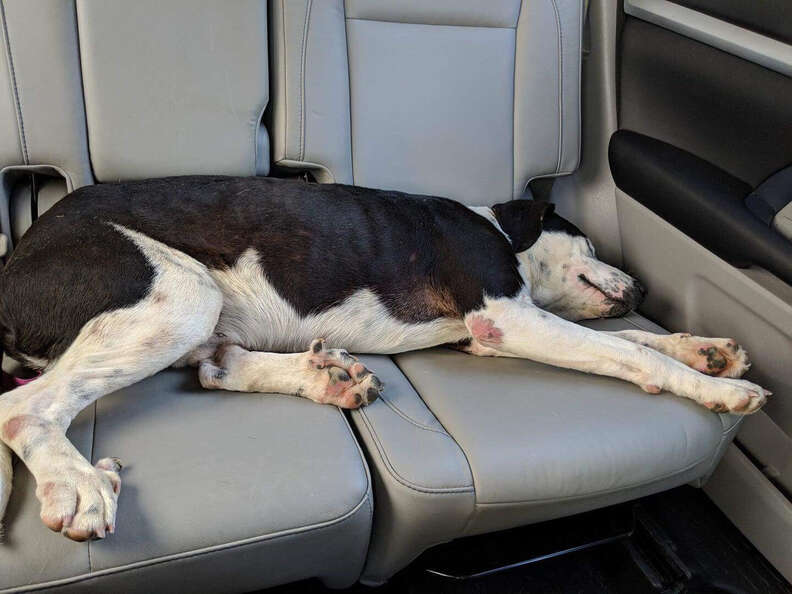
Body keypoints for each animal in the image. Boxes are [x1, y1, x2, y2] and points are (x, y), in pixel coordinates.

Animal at [0, 175, 772, 536]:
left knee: (218, 366)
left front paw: (706, 351)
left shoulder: (499, 327)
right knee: (23, 407)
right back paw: (78, 483)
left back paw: (330, 377)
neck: (499, 229)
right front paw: (716, 391)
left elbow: (634, 339)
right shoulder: (504, 320)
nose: (642, 285)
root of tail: (12, 264)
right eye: (589, 240)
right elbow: (631, 355)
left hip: (196, 312)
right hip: (178, 292)